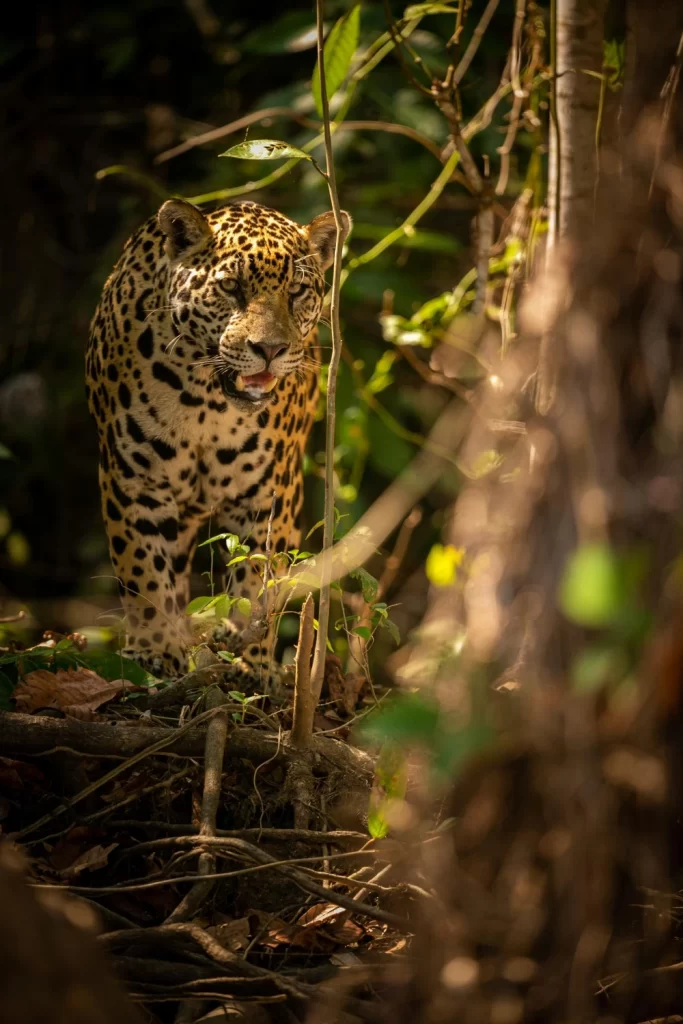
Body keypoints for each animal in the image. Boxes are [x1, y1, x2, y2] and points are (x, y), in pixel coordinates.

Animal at [86, 197, 350, 682]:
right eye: (230, 287)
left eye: (297, 291)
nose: (270, 349)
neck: (204, 399)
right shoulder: (132, 479)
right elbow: (142, 569)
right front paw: (156, 649)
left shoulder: (269, 491)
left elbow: (257, 577)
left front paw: (250, 659)